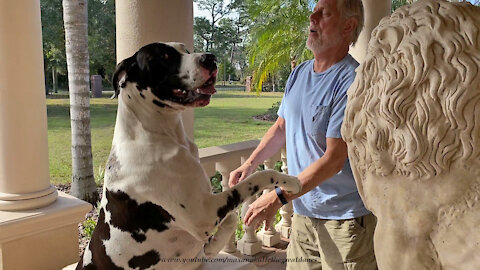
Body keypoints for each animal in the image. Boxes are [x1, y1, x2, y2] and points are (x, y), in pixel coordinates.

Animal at [75, 42, 300, 270]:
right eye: (164, 56)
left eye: (186, 50)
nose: (210, 58)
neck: (158, 135)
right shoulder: (204, 214)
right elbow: (260, 177)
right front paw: (290, 181)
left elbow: (231, 217)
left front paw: (212, 246)